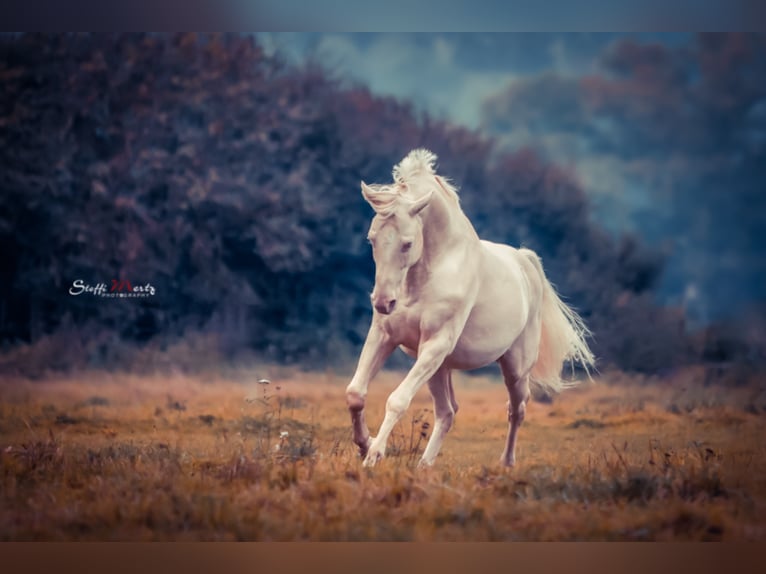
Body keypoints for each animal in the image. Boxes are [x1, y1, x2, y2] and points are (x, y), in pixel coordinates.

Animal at [345, 149, 595, 468]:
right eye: (372, 239)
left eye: (407, 244)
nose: (383, 302)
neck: (430, 271)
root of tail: (525, 262)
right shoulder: (385, 336)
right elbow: (355, 393)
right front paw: (364, 445)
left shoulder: (436, 344)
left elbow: (397, 400)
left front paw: (374, 455)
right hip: (440, 369)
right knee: (448, 412)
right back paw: (424, 466)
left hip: (513, 368)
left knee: (517, 409)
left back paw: (506, 462)